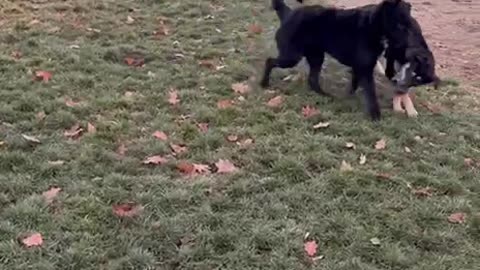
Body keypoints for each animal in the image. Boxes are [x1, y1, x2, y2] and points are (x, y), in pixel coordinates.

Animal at [262, 0, 412, 120]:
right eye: (400, 25)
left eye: (409, 23)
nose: (409, 44)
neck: (374, 24)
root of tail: (288, 14)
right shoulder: (365, 68)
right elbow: (371, 92)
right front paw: (375, 115)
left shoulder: (360, 67)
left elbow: (354, 85)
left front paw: (348, 98)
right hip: (291, 57)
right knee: (269, 61)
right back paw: (264, 84)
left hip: (316, 57)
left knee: (312, 79)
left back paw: (325, 96)